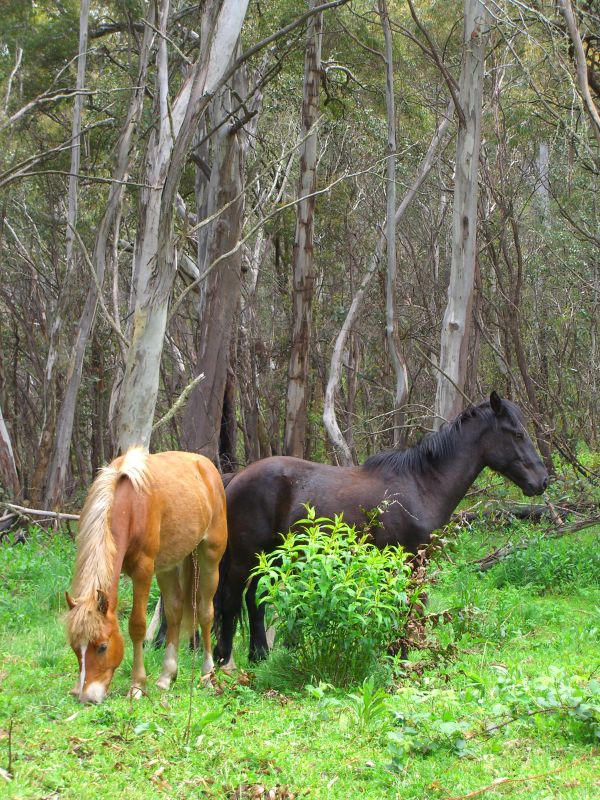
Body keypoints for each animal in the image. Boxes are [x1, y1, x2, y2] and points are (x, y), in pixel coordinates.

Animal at [64, 446, 226, 704]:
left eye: (102, 646)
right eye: (74, 647)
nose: (87, 698)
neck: (129, 506)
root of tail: (205, 465)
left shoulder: (143, 570)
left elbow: (137, 625)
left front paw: (137, 685)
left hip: (209, 557)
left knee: (205, 612)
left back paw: (207, 675)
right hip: (168, 566)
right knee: (175, 611)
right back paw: (166, 676)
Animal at [212, 390, 548, 664]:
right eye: (517, 433)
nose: (542, 481)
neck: (421, 486)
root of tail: (235, 478)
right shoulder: (408, 561)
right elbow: (406, 607)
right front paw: (399, 655)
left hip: (269, 557)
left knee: (254, 600)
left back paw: (259, 656)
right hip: (246, 557)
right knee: (230, 600)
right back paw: (222, 659)